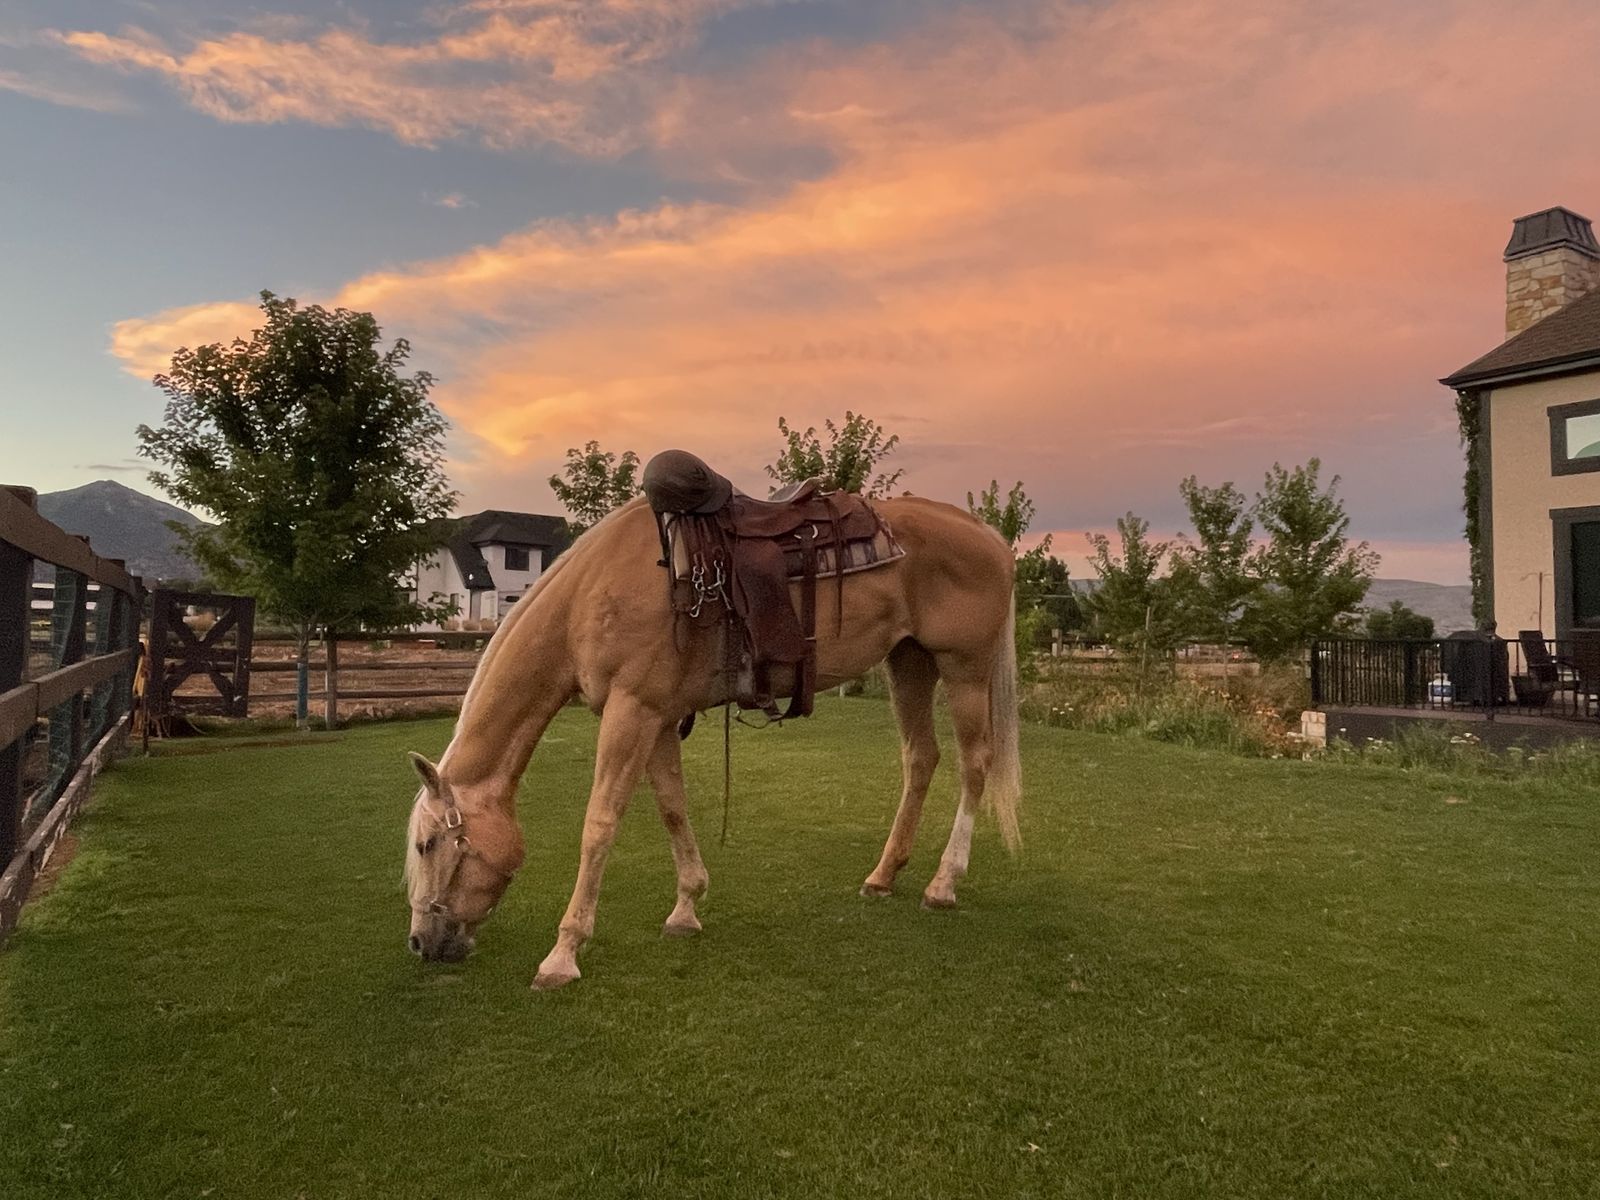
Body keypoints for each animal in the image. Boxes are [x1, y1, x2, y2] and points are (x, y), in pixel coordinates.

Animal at [404, 492, 1020, 990]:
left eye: (428, 845)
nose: (419, 943)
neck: (590, 595)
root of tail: (991, 536)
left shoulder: (631, 711)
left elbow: (600, 824)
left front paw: (563, 954)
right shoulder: (656, 717)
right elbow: (672, 808)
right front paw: (686, 908)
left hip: (964, 669)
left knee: (974, 764)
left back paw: (943, 883)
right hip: (909, 663)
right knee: (920, 758)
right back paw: (884, 875)